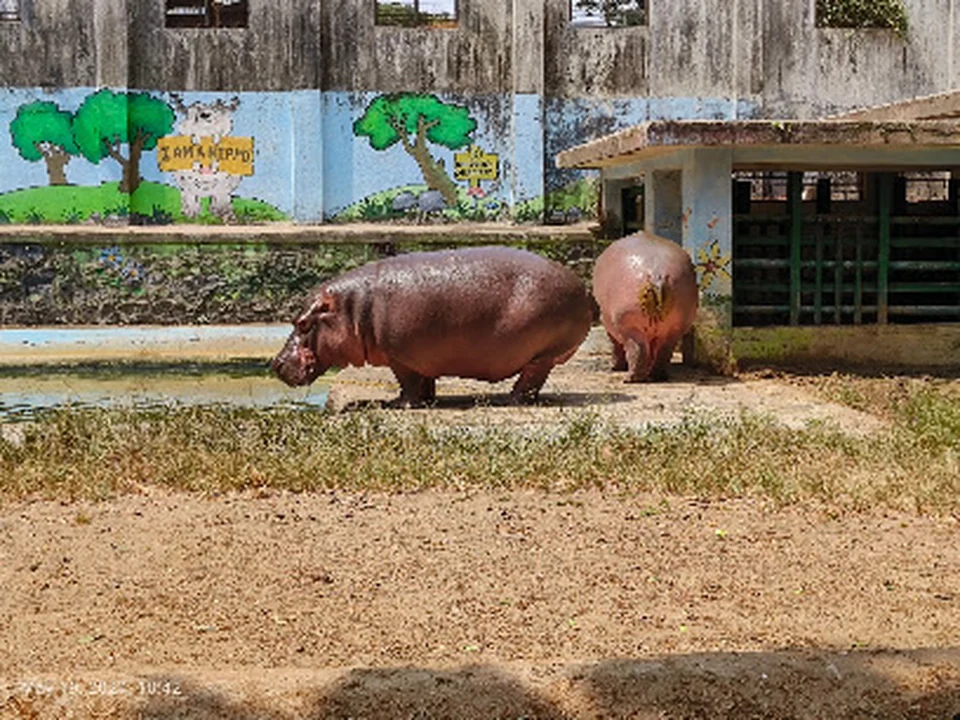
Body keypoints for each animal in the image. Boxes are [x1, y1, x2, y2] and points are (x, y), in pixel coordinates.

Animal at [272, 246, 593, 406]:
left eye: (302, 323)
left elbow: (408, 383)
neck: (353, 309)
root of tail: (580, 286)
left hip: (544, 352)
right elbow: (424, 382)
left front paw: (398, 404)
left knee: (531, 378)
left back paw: (511, 399)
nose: (275, 363)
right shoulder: (420, 356)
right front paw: (426, 400)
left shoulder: (399, 357)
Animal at [592, 232, 699, 382]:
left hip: (628, 324)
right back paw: (657, 376)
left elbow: (616, 345)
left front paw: (615, 367)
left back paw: (629, 378)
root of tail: (657, 275)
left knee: (638, 350)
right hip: (677, 327)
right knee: (663, 352)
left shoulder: (608, 322)